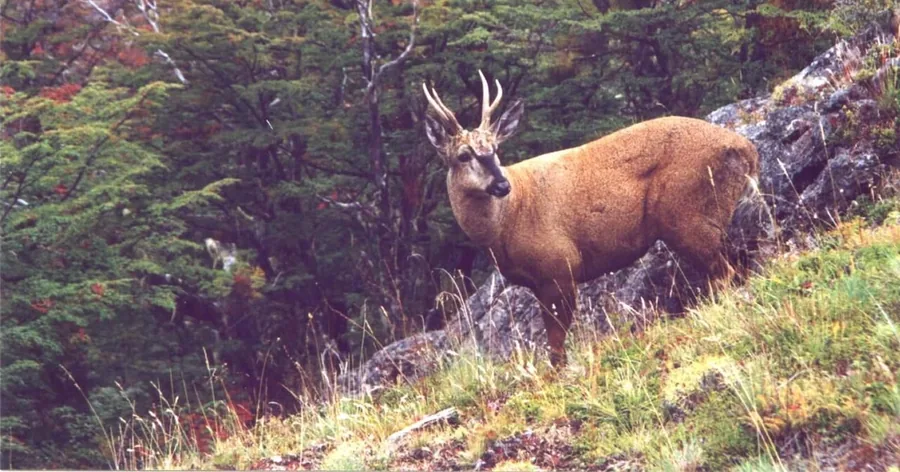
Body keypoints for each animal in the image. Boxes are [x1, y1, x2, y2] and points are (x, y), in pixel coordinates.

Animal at [422, 71, 760, 367]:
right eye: (463, 155)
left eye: (495, 149)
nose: (503, 185)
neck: (507, 223)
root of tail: (747, 149)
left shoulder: (559, 266)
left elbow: (557, 347)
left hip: (689, 218)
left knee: (726, 275)